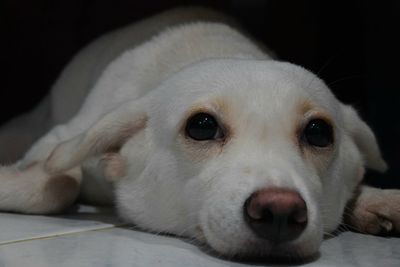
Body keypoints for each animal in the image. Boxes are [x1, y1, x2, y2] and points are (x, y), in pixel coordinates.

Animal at [0, 6, 400, 262]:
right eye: (201, 126)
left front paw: (376, 199)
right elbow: (58, 184)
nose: (280, 211)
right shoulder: (63, 135)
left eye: (318, 132)